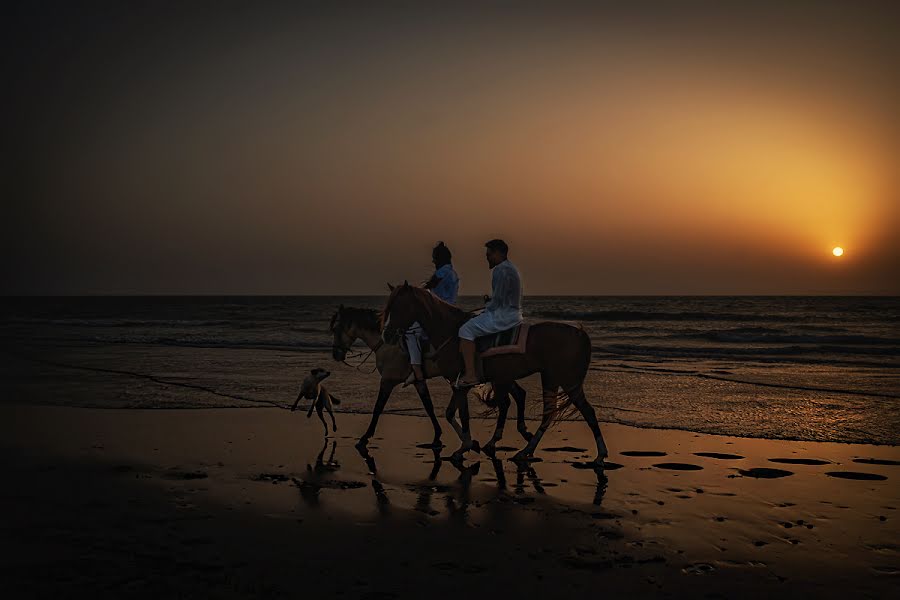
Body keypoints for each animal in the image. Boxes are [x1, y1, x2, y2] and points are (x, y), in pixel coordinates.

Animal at [328, 304, 528, 450]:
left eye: (336, 328)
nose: (336, 354)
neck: (387, 343)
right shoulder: (418, 381)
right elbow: (429, 406)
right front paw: (437, 436)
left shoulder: (387, 381)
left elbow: (378, 408)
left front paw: (365, 437)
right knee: (517, 396)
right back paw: (519, 433)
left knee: (508, 401)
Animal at [382, 284, 612, 464]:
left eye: (398, 306)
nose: (386, 334)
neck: (450, 332)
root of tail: (579, 332)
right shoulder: (462, 383)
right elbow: (453, 413)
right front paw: (469, 444)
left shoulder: (461, 383)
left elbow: (458, 414)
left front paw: (467, 445)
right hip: (549, 378)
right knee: (548, 412)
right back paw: (525, 449)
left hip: (565, 379)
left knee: (582, 411)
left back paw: (599, 454)